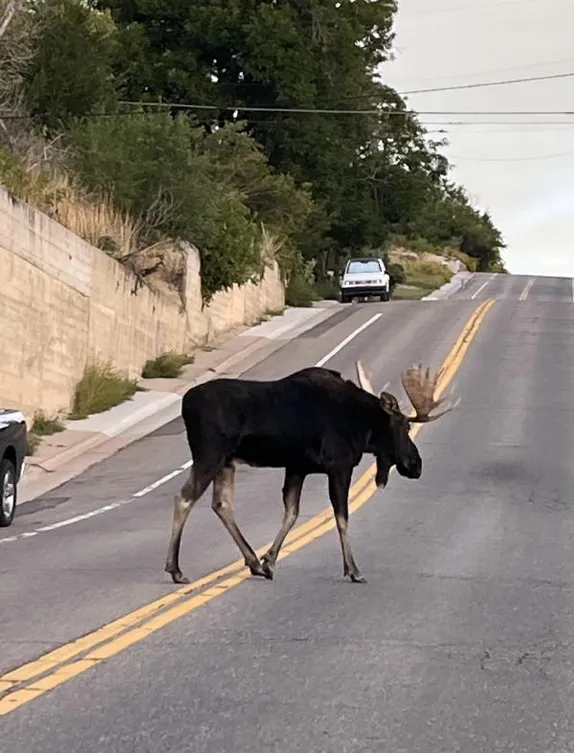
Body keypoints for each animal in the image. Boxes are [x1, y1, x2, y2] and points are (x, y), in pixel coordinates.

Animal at [164, 362, 456, 584]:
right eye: (406, 426)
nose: (416, 465)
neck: (364, 428)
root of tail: (185, 404)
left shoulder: (298, 467)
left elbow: (292, 513)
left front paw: (268, 561)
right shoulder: (338, 466)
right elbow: (341, 518)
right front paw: (353, 570)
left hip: (226, 462)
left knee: (221, 504)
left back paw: (253, 562)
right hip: (209, 455)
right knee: (184, 498)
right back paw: (175, 569)